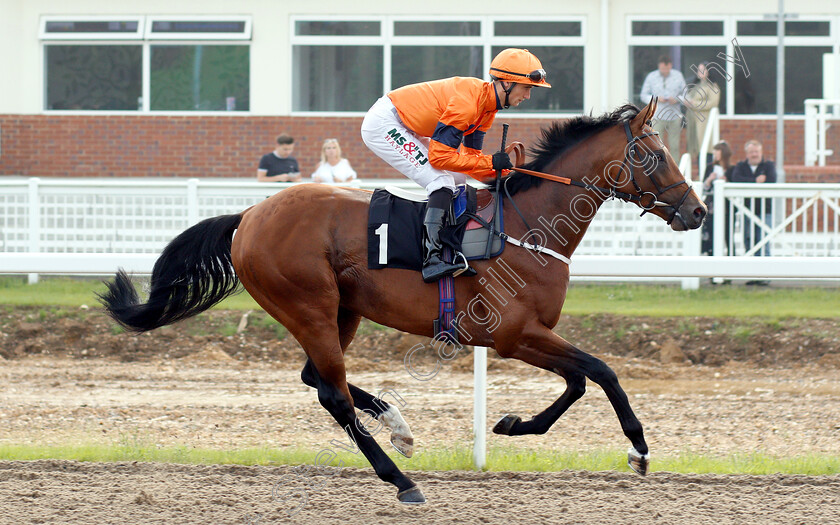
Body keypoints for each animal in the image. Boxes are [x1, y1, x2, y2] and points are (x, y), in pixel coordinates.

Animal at [100, 99, 708, 504]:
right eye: (653, 155)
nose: (697, 212)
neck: (526, 227)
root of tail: (249, 215)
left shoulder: (525, 336)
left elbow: (581, 380)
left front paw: (512, 424)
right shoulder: (512, 335)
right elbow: (602, 372)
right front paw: (638, 450)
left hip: (339, 310)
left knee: (318, 379)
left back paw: (399, 425)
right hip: (307, 305)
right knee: (333, 394)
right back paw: (401, 479)